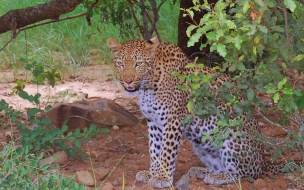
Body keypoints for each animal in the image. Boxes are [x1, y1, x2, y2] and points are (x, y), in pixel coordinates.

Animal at [106, 36, 296, 189]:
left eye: (138, 64)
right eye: (120, 64)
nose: (127, 80)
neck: (148, 86)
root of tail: (264, 162)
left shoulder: (173, 120)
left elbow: (166, 152)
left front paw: (162, 178)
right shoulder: (153, 122)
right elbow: (154, 150)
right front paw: (152, 173)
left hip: (232, 138)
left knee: (245, 174)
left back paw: (218, 177)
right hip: (203, 146)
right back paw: (202, 171)